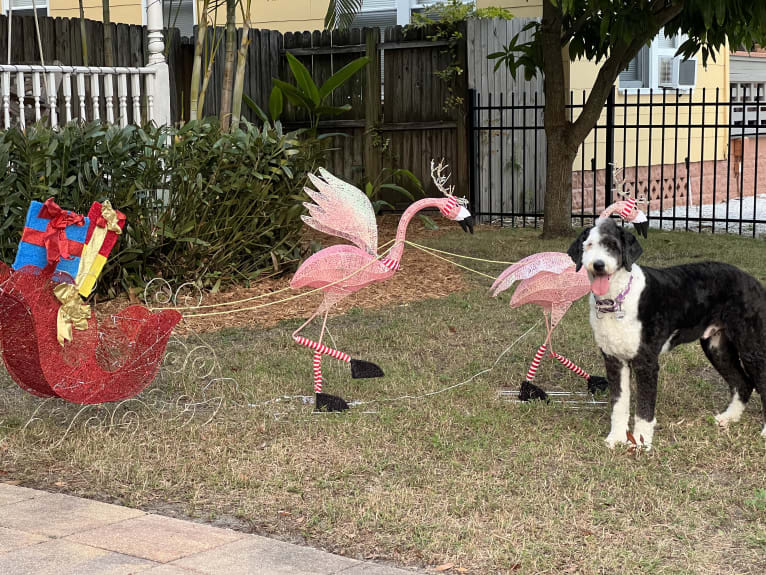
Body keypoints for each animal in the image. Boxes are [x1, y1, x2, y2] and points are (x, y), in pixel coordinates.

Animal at [568, 218, 766, 448]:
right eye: (589, 245)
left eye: (613, 246)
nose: (599, 265)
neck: (616, 300)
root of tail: (753, 281)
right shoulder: (614, 360)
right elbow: (619, 404)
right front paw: (616, 438)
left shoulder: (646, 362)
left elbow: (644, 409)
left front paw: (641, 441)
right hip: (717, 348)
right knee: (743, 383)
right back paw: (729, 417)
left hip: (751, 348)